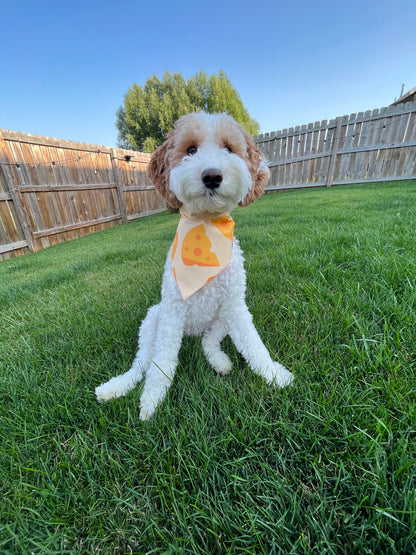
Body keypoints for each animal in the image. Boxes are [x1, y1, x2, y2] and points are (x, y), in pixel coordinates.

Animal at [96, 112, 294, 422]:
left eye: (229, 148)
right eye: (190, 149)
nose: (212, 176)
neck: (206, 227)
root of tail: (193, 332)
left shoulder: (236, 305)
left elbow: (253, 344)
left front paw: (274, 374)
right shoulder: (172, 311)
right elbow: (161, 363)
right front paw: (152, 400)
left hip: (221, 319)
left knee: (208, 342)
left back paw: (220, 362)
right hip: (153, 318)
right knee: (142, 363)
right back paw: (115, 387)